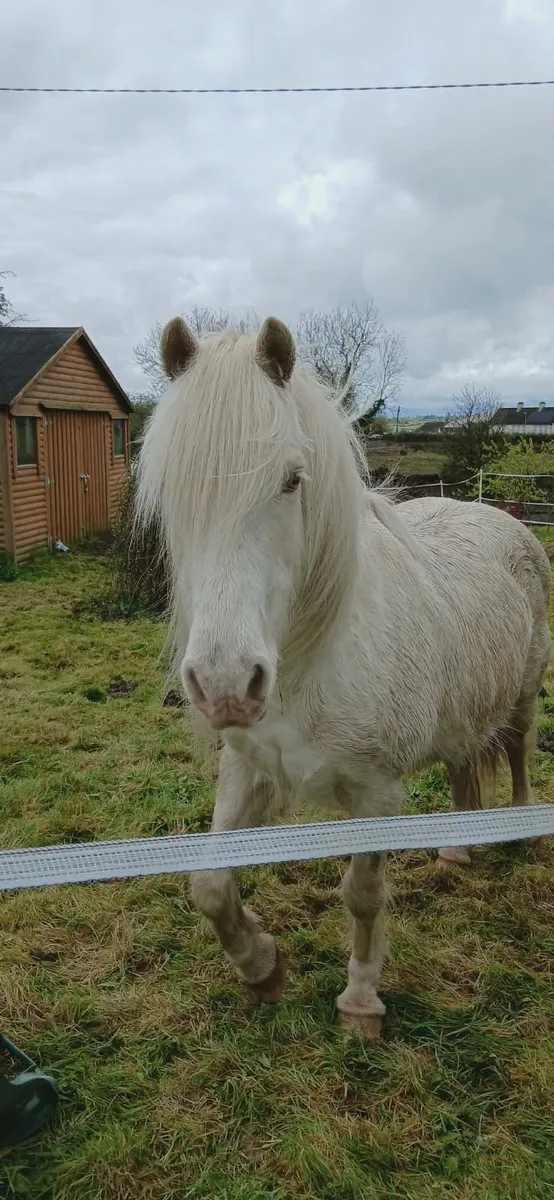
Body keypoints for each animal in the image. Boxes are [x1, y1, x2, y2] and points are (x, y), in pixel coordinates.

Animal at [137, 315, 551, 1040]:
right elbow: (209, 886)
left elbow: (362, 895)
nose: (225, 684)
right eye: (171, 492)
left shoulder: (375, 794)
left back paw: (520, 829)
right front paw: (262, 967)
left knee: (522, 748)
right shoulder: (247, 768)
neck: (311, 662)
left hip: (525, 695)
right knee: (462, 760)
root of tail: (501, 516)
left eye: (291, 480)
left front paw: (360, 1003)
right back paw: (454, 852)